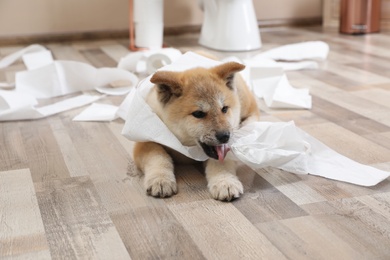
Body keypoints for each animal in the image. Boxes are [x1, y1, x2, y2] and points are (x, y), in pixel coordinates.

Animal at [133, 60, 258, 201]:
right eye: (198, 114)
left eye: (224, 109)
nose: (225, 136)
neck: (187, 148)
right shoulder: (144, 141)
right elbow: (158, 156)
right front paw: (160, 179)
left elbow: (222, 163)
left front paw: (225, 181)